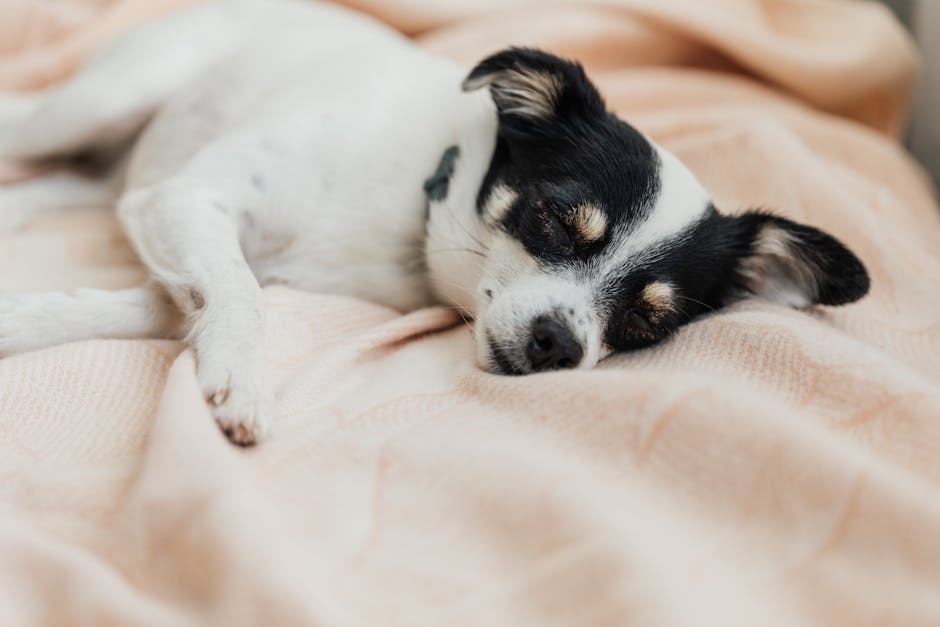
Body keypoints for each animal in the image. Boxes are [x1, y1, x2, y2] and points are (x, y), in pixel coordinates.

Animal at [0, 0, 872, 446]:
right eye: (556, 220)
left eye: (645, 322)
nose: (560, 344)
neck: (423, 198)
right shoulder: (189, 199)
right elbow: (238, 295)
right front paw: (244, 380)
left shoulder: (183, 236)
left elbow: (175, 302)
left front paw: (25, 317)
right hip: (101, 102)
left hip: (104, 166)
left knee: (67, 185)